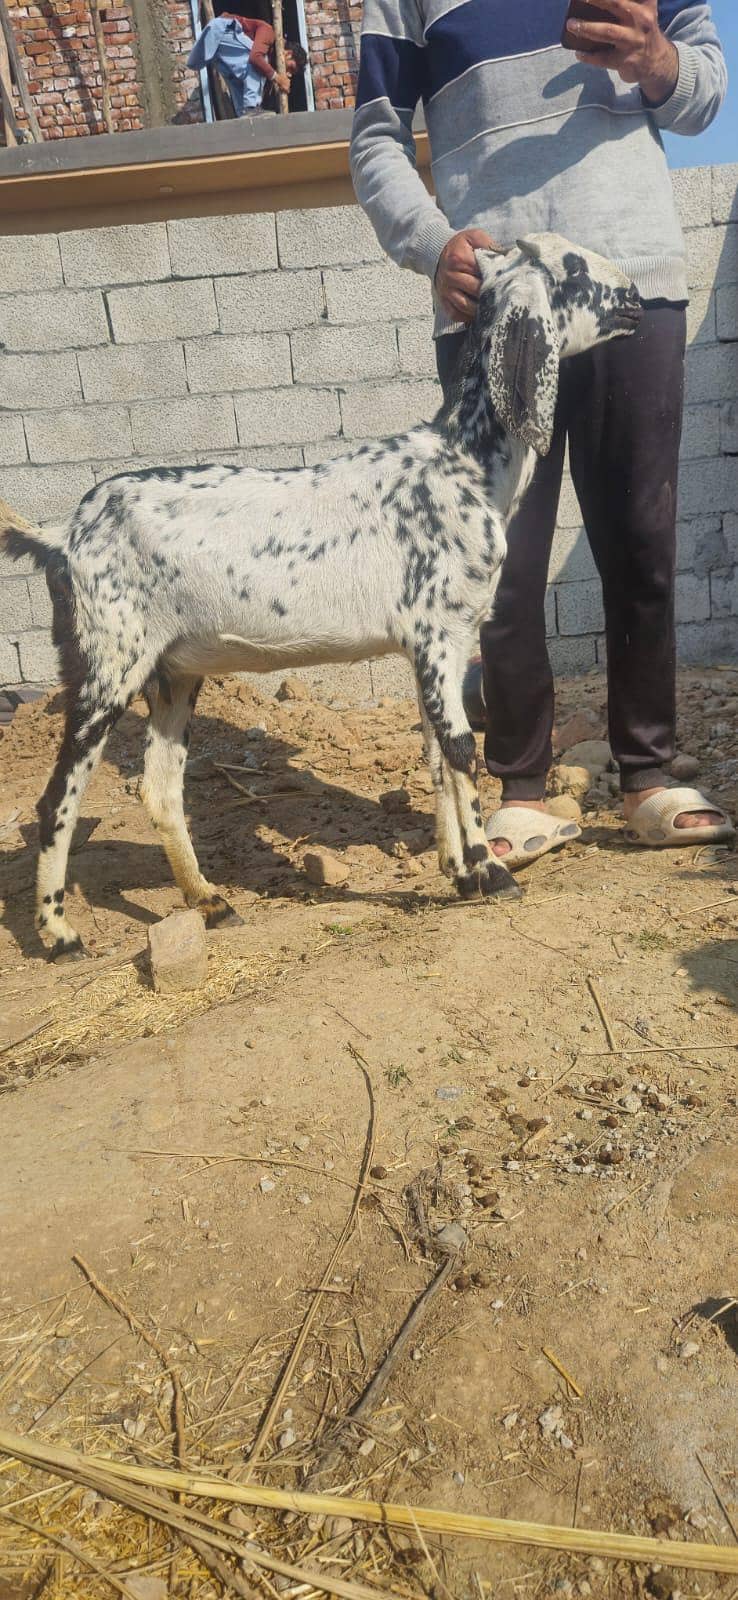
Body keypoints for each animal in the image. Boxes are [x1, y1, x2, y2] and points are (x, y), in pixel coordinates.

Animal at [0, 233, 641, 960]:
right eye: (574, 270)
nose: (637, 298)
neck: (464, 464)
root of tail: (62, 537)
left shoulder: (434, 645)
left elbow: (434, 751)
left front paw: (455, 869)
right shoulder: (439, 634)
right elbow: (459, 750)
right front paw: (489, 873)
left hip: (174, 669)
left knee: (160, 789)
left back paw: (211, 903)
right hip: (108, 659)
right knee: (59, 795)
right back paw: (57, 931)